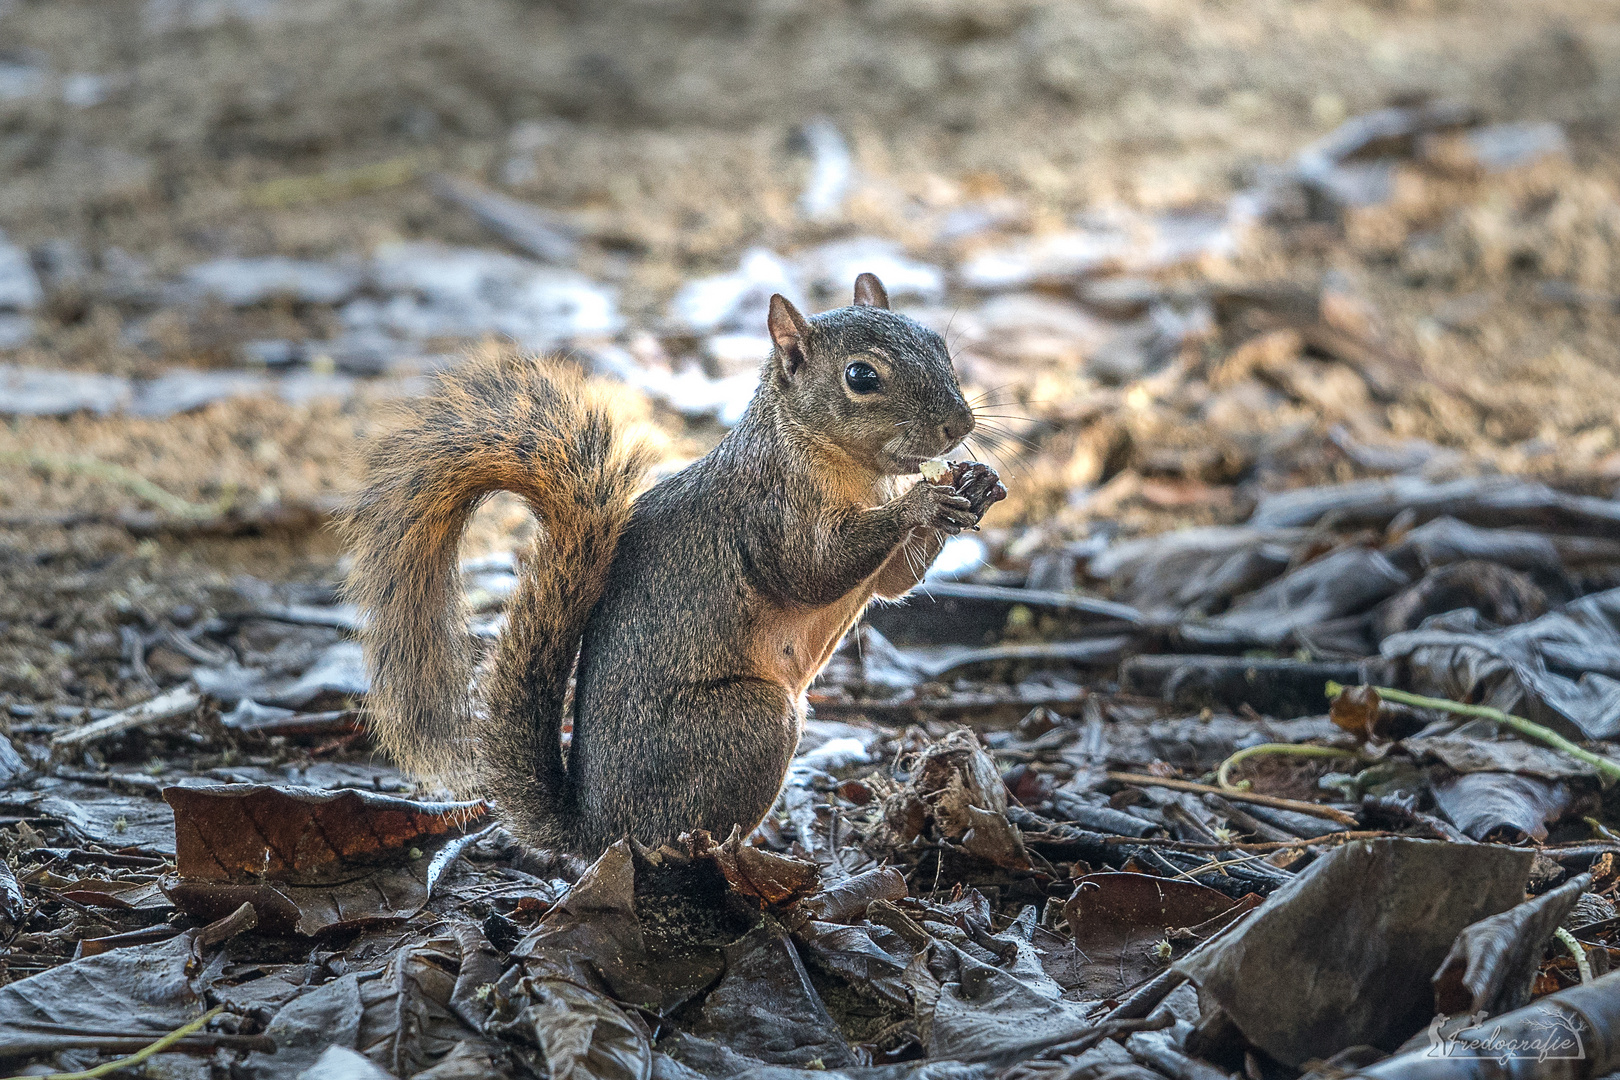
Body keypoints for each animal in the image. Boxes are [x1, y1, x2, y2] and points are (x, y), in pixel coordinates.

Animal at [338, 272, 997, 861]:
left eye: (938, 344)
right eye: (861, 376)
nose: (959, 425)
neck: (848, 465)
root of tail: (598, 831)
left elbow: (891, 583)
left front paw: (977, 484)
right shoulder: (770, 510)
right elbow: (812, 570)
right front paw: (922, 502)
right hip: (750, 725)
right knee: (678, 835)